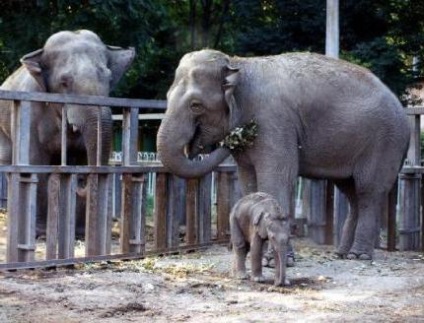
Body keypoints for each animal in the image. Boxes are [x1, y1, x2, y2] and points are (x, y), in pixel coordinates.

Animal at [0, 30, 135, 235]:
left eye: (109, 79)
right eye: (64, 82)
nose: (81, 182)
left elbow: (83, 158)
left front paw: (80, 232)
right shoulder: (30, 112)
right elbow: (36, 163)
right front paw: (40, 232)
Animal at [157, 48, 410, 260]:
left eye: (195, 105)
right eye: (167, 97)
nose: (236, 135)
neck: (238, 63)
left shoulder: (274, 121)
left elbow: (277, 178)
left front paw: (275, 260)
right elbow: (249, 182)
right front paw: (257, 255)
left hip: (384, 143)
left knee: (368, 191)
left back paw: (359, 256)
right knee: (352, 192)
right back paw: (342, 254)